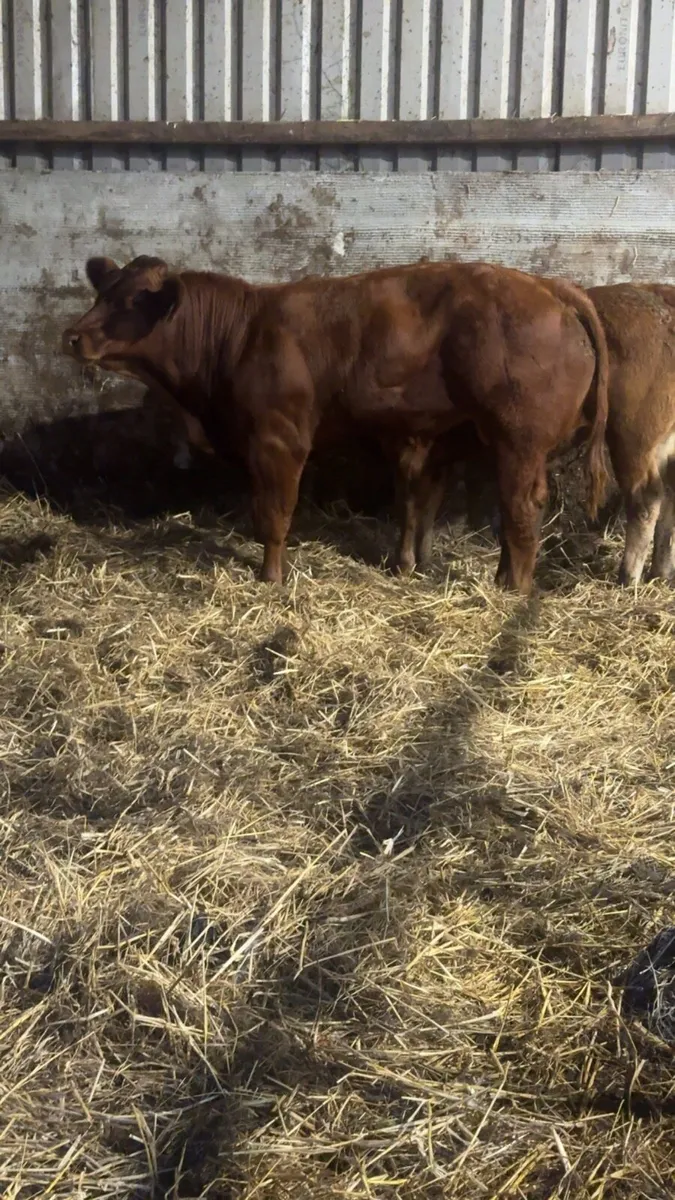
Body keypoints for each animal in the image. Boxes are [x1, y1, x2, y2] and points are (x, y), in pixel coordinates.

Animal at [62, 255, 608, 594]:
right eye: (103, 292)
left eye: (133, 300)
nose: (72, 336)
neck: (238, 336)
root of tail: (548, 287)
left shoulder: (278, 439)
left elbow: (274, 514)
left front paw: (271, 578)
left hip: (520, 441)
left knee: (522, 507)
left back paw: (511, 588)